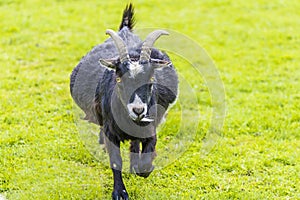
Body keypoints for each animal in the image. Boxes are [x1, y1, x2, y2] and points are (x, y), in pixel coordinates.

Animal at [70, 3, 178, 200]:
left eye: (151, 79)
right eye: (119, 79)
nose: (138, 110)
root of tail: (125, 30)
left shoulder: (150, 128)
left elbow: (146, 159)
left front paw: (143, 167)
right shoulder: (110, 132)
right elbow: (115, 161)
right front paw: (119, 193)